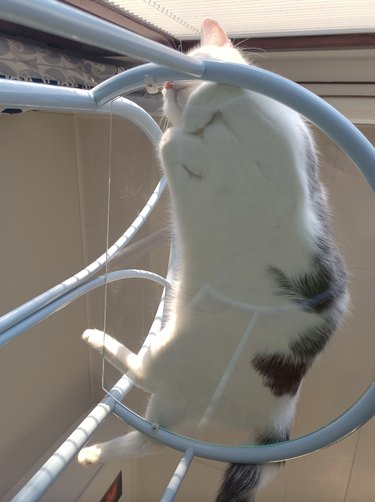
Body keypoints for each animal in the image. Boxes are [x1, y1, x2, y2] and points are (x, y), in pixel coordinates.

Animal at [78, 17, 350, 500]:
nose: (168, 82)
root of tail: (277, 419)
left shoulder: (275, 142)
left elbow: (229, 95)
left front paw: (206, 101)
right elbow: (171, 143)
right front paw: (190, 129)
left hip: (183, 359)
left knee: (152, 411)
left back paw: (97, 348)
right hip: (178, 364)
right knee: (153, 428)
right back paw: (92, 443)